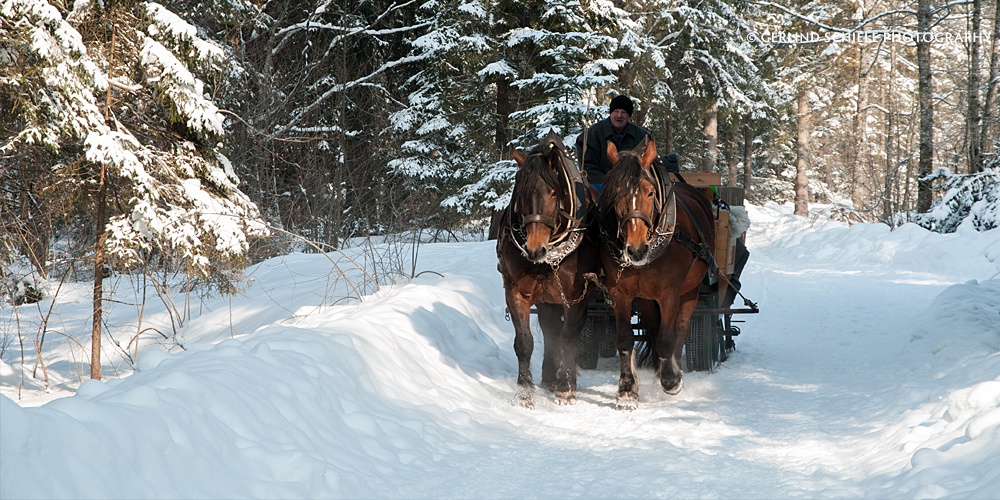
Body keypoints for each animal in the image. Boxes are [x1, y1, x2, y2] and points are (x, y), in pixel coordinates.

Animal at [496, 131, 596, 408]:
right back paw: (550, 376)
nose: (534, 249)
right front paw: (524, 392)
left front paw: (566, 388)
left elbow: (568, 337)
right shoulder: (515, 291)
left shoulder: (575, 296)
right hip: (546, 298)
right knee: (550, 327)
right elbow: (524, 342)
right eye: (520, 192)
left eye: (553, 192)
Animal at [596, 138, 716, 410]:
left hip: (691, 290)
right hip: (646, 298)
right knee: (652, 327)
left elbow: (667, 338)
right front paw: (627, 390)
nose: (636, 249)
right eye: (614, 193)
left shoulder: (669, 293)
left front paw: (671, 381)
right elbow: (625, 339)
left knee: (679, 329)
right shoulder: (621, 292)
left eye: (650, 192)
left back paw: (672, 369)